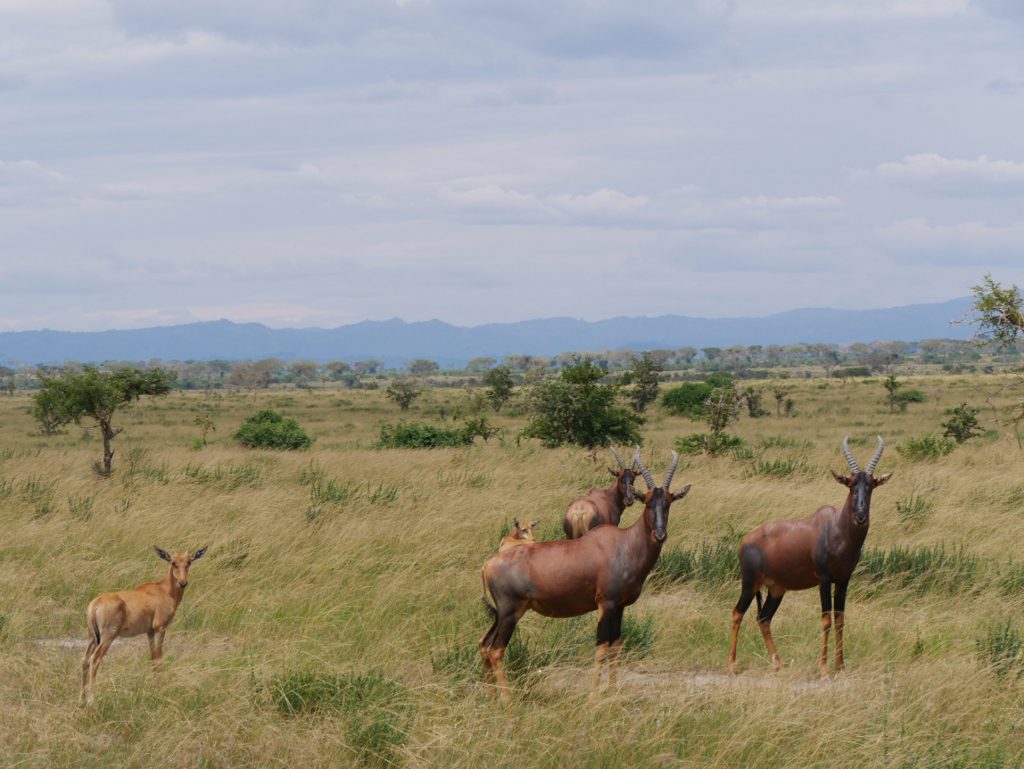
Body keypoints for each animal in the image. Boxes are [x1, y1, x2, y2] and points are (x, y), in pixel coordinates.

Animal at [81, 544, 207, 708]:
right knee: (94, 659)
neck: (163, 590)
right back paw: (91, 700)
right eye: (173, 562)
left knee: (84, 660)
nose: (183, 582)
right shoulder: (160, 628)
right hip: (107, 637)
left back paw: (81, 700)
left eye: (189, 562)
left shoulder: (150, 632)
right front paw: (160, 690)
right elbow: (159, 659)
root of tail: (95, 604)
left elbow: (153, 658)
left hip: (92, 637)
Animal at [477, 448, 688, 700]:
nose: (659, 534)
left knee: (484, 644)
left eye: (668, 502)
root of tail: (488, 565)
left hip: (501, 614)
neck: (624, 544)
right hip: (510, 612)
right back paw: (508, 702)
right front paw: (594, 696)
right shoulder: (605, 604)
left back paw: (491, 697)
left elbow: (615, 646)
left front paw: (613, 692)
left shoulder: (620, 606)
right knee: (496, 650)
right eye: (646, 501)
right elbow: (601, 647)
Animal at [729, 436, 888, 675]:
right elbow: (826, 620)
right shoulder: (824, 579)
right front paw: (823, 667)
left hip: (776, 589)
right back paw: (731, 664)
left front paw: (840, 665)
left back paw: (778, 664)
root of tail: (744, 541)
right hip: (750, 583)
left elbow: (839, 619)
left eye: (871, 485)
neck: (835, 527)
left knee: (764, 618)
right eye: (851, 485)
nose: (860, 516)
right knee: (737, 613)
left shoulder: (843, 580)